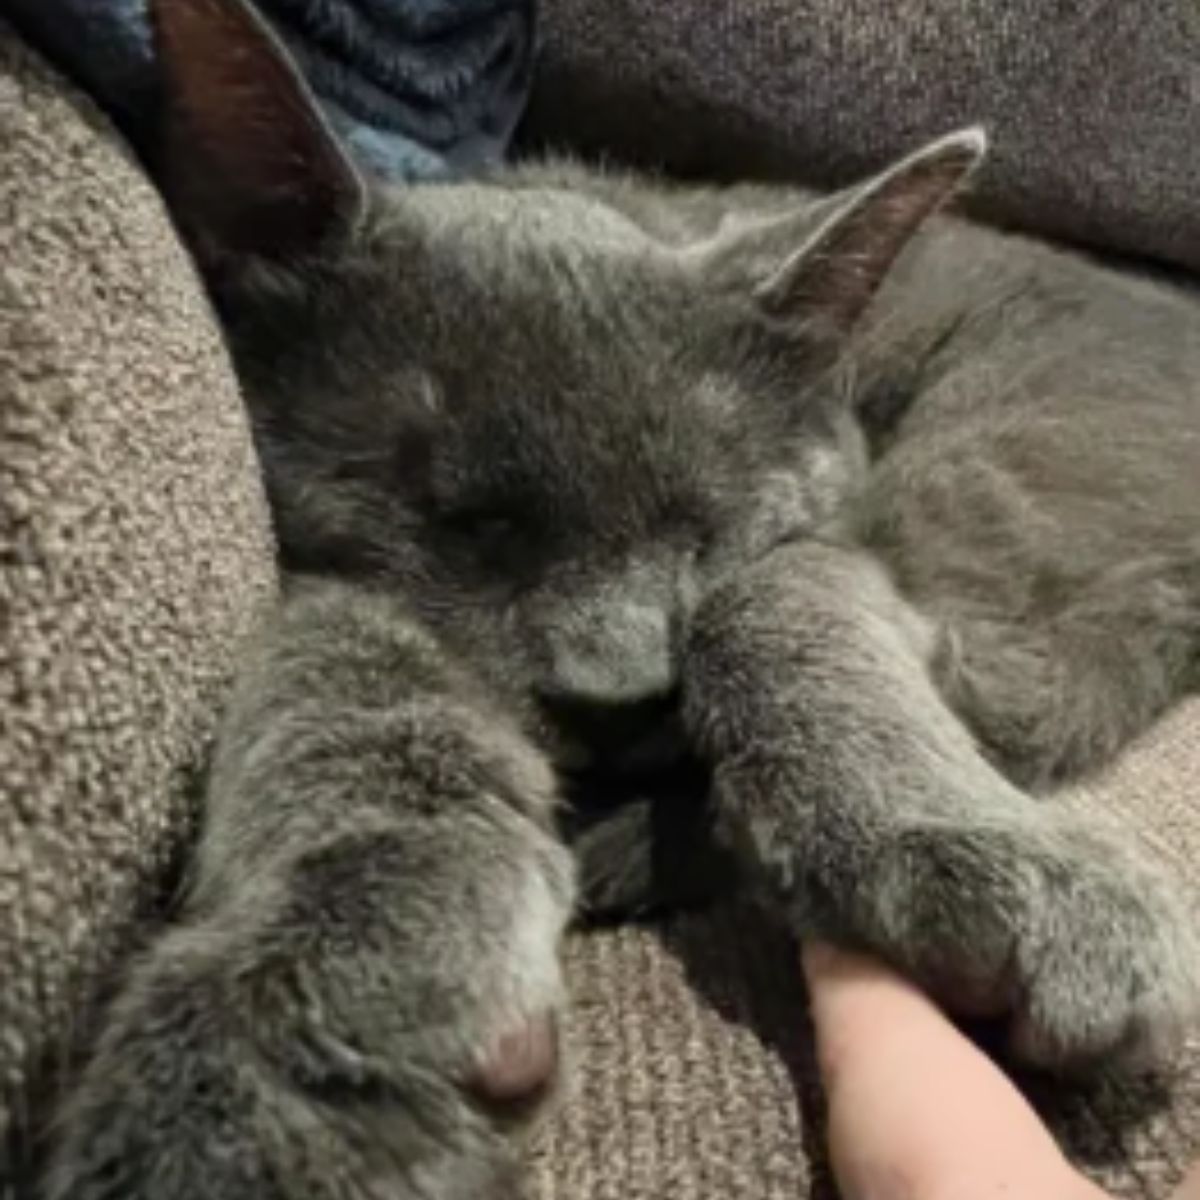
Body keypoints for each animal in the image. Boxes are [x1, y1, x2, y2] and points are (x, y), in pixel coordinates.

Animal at [39, 2, 1200, 1200]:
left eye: (704, 523)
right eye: (467, 521)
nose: (619, 691)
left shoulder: (823, 532)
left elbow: (771, 597)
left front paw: (980, 853)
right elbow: (348, 654)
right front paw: (322, 1009)